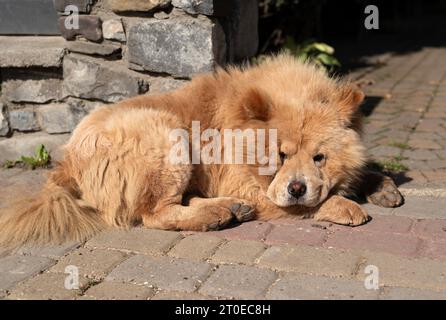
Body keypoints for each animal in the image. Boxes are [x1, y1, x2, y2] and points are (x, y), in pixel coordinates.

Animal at [0, 53, 404, 246]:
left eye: (319, 158)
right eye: (280, 156)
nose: (296, 187)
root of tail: (65, 163)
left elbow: (362, 170)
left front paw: (382, 186)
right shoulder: (247, 183)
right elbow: (306, 205)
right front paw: (346, 205)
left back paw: (229, 210)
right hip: (168, 136)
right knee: (155, 213)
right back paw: (217, 215)